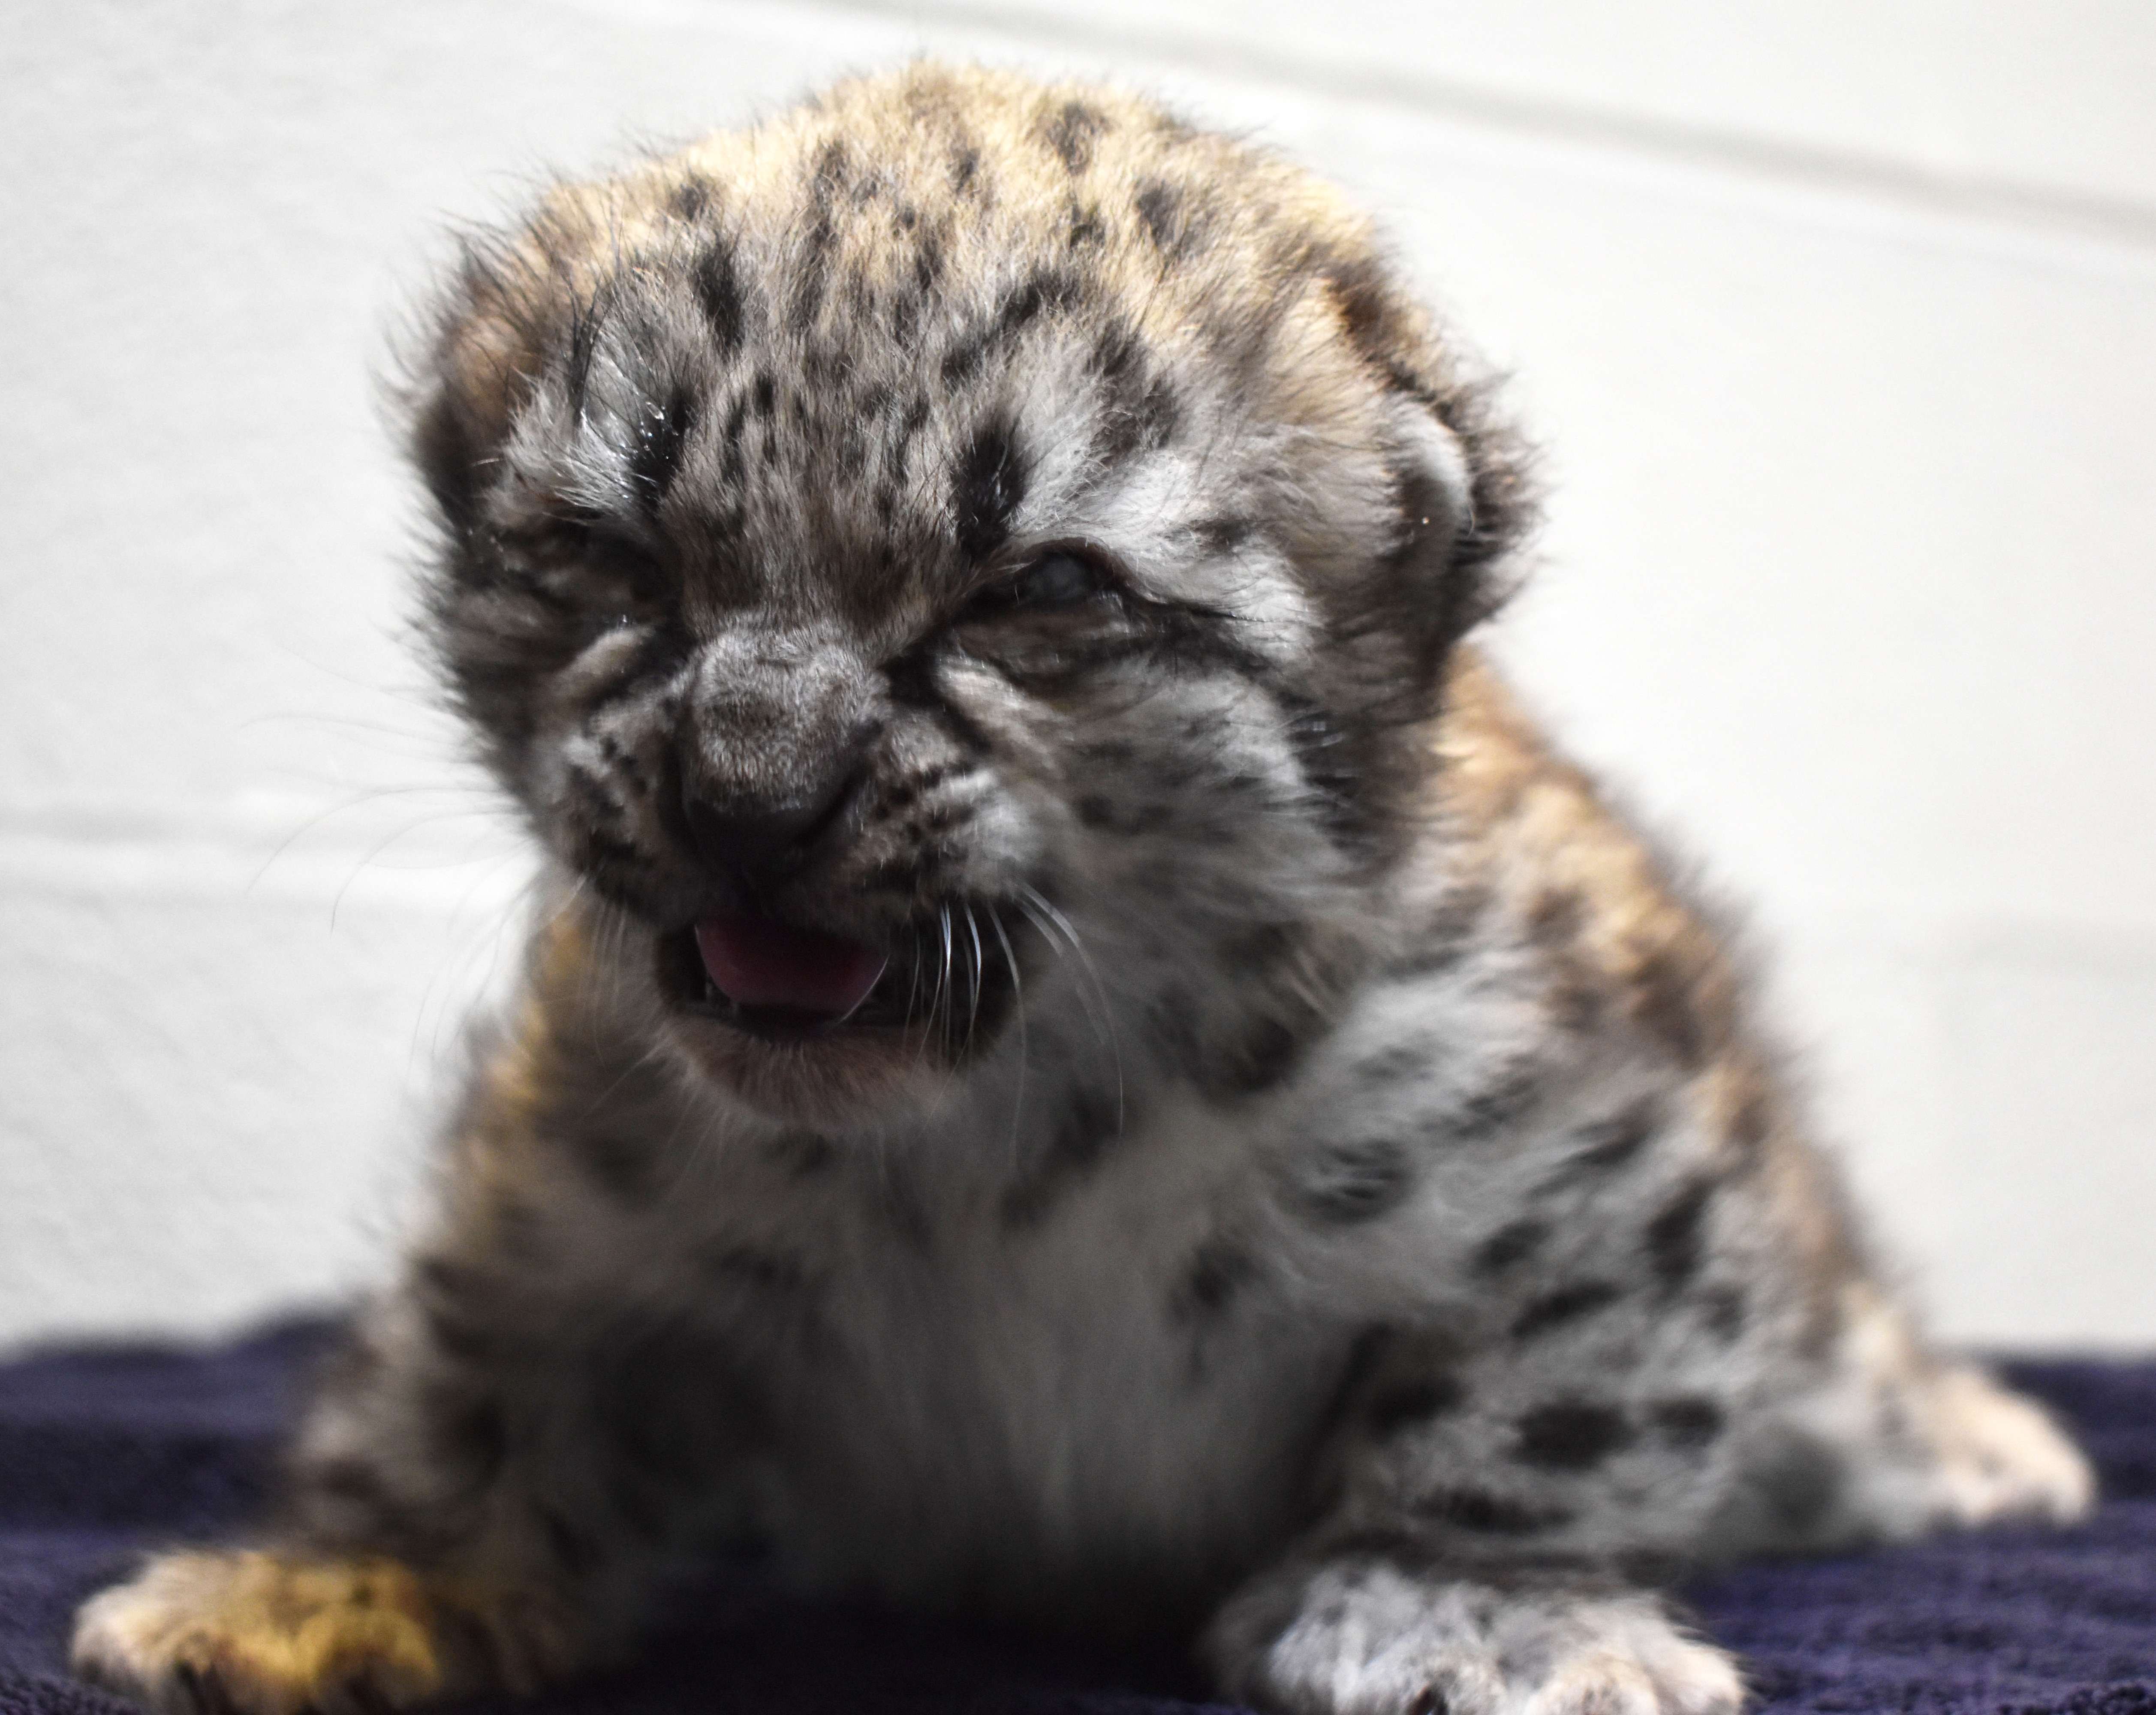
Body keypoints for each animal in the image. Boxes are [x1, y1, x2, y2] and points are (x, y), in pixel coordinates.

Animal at [72, 61, 2092, 1715]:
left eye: (1035, 591)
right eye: (609, 556)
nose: (748, 791)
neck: (996, 1151)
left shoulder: (1608, 1144)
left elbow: (1545, 1396)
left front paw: (1469, 1609)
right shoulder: (566, 1174)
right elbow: (464, 1362)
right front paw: (345, 1579)